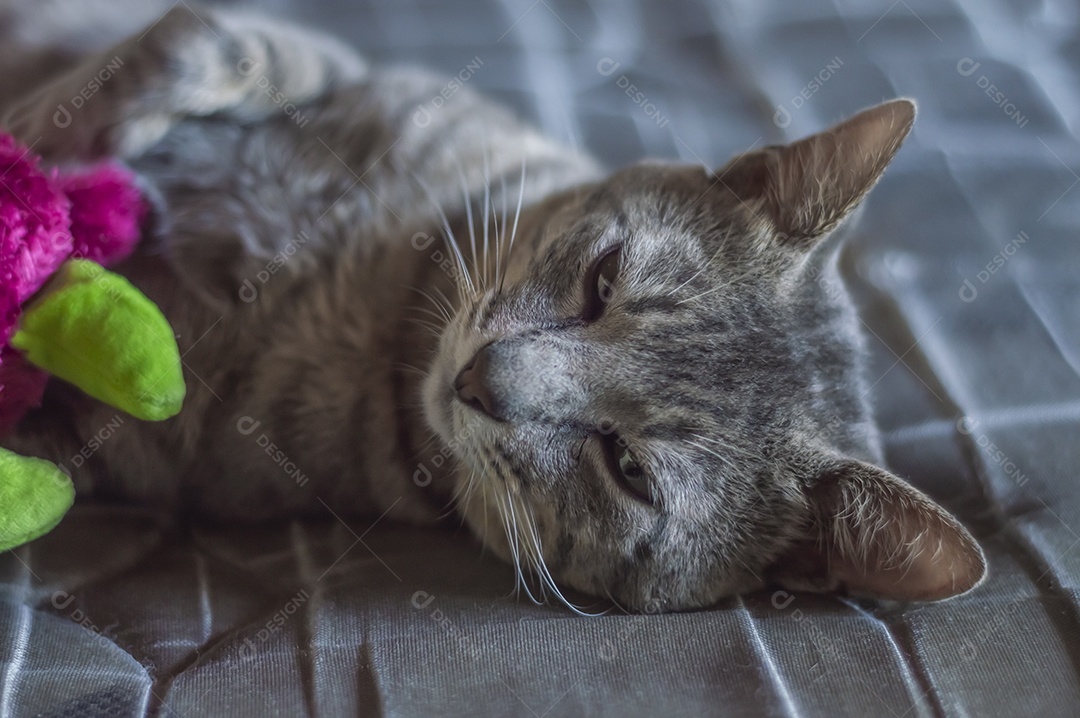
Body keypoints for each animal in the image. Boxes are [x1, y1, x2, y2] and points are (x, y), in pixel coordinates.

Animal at [0, 5, 984, 608]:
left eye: (628, 468)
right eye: (603, 279)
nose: (477, 379)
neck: (388, 309)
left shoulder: (140, 444)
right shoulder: (331, 64)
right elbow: (216, 39)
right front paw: (55, 132)